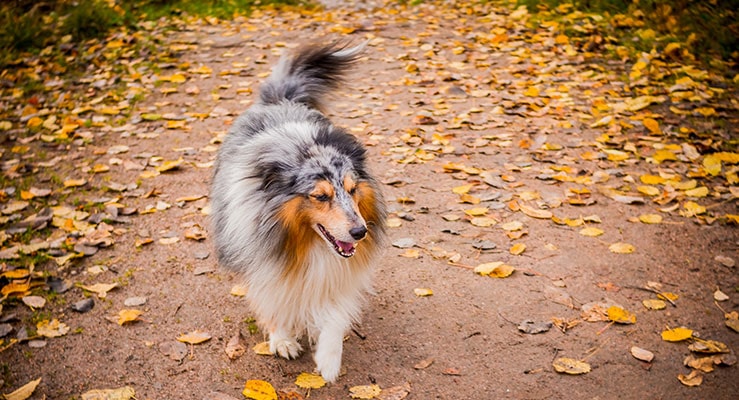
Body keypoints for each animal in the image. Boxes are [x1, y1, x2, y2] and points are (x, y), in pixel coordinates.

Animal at [210, 42, 388, 382]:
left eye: (352, 189)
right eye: (320, 196)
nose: (360, 232)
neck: (305, 242)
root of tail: (279, 99)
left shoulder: (339, 270)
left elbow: (335, 312)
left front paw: (329, 360)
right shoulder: (262, 260)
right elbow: (274, 301)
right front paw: (283, 340)